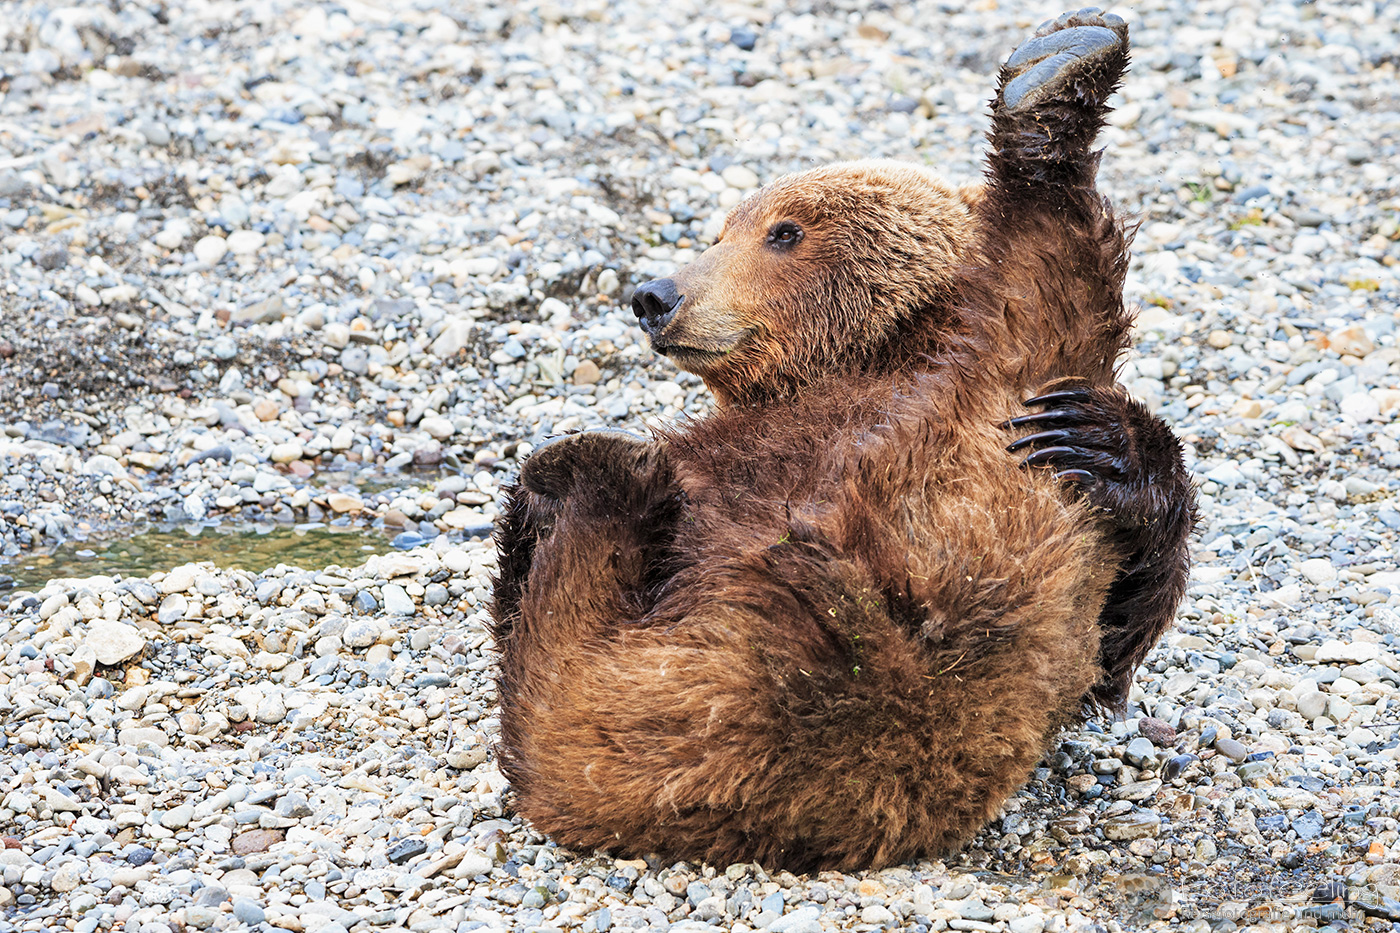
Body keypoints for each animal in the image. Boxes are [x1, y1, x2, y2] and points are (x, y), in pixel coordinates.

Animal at [489, 9, 1195, 872]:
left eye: (783, 231)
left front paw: (1105, 441)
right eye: (721, 229)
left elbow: (1124, 631)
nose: (656, 294)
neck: (884, 358)